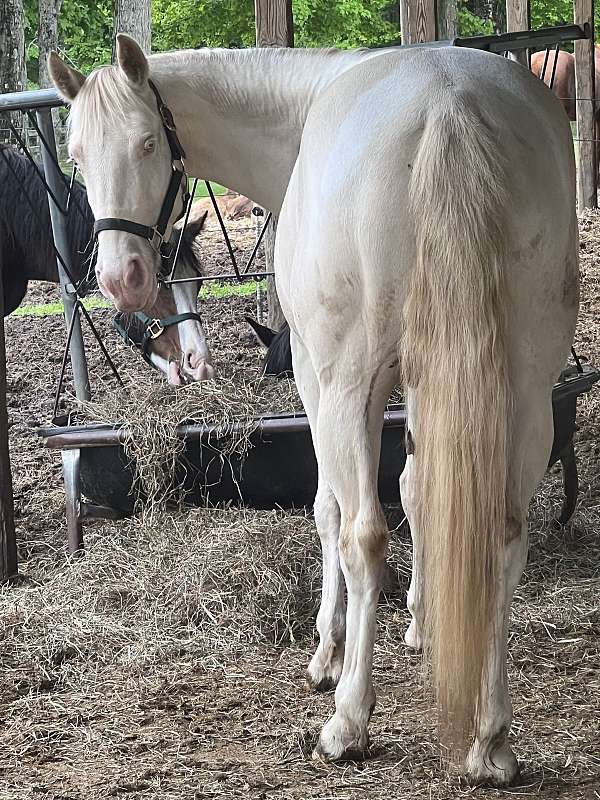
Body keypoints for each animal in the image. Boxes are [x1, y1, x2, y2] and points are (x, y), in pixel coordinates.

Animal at [50, 36, 576, 780]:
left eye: (148, 141)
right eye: (75, 152)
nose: (121, 277)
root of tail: (450, 105)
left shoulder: (315, 375)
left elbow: (331, 509)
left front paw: (328, 652)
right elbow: (421, 489)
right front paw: (423, 624)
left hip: (351, 388)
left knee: (363, 535)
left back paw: (349, 719)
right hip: (524, 388)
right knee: (502, 532)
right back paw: (489, 737)